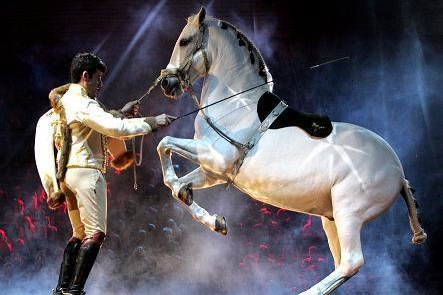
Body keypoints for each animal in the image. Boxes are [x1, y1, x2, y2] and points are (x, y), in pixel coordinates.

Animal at [156, 6, 426, 295]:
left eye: (185, 41)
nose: (166, 84)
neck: (238, 104)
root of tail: (398, 172)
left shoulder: (215, 157)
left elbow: (164, 145)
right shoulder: (214, 171)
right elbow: (176, 187)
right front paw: (214, 219)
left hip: (349, 212)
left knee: (352, 262)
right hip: (332, 218)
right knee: (343, 265)